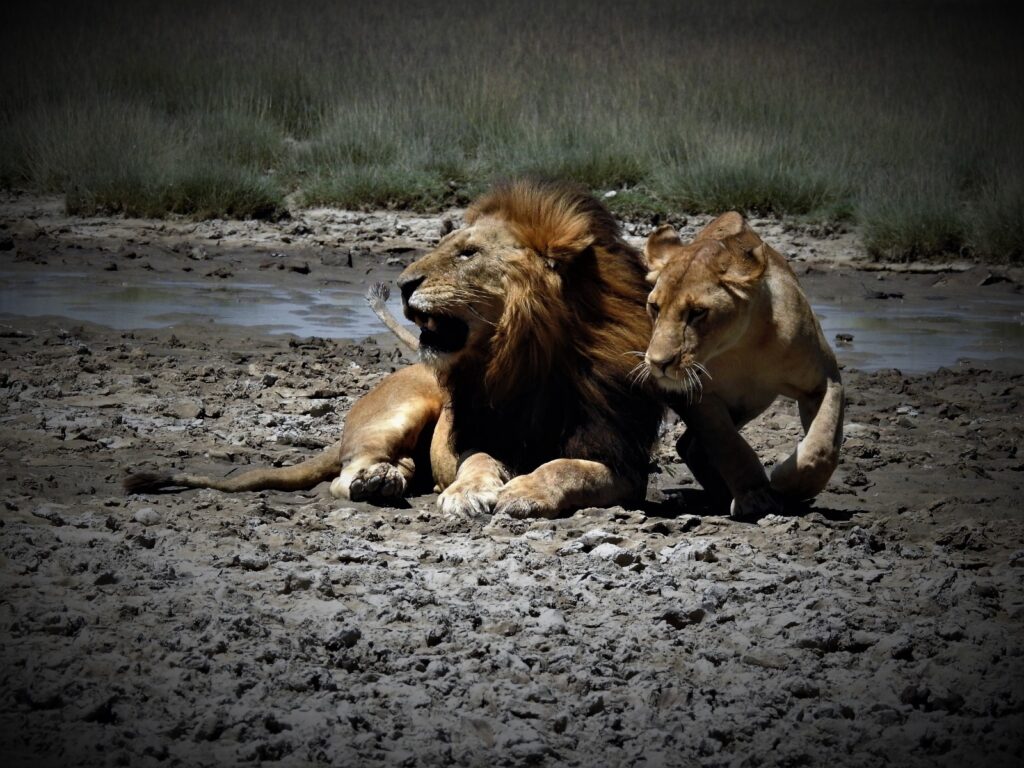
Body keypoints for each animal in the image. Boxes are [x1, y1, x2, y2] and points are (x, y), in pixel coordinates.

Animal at [126, 180, 663, 519]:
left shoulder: (623, 463)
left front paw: (524, 489)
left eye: (468, 253)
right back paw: (377, 483)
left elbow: (566, 467)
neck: (524, 358)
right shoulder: (474, 432)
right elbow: (479, 461)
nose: (404, 285)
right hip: (402, 409)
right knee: (346, 475)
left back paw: (391, 480)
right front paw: (468, 494)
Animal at [641, 212, 844, 519]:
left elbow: (822, 446)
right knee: (694, 446)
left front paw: (787, 483)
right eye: (655, 307)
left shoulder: (825, 380)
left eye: (698, 312)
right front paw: (755, 496)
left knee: (690, 446)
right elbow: (729, 445)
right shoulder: (696, 396)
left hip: (749, 404)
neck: (741, 347)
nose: (658, 363)